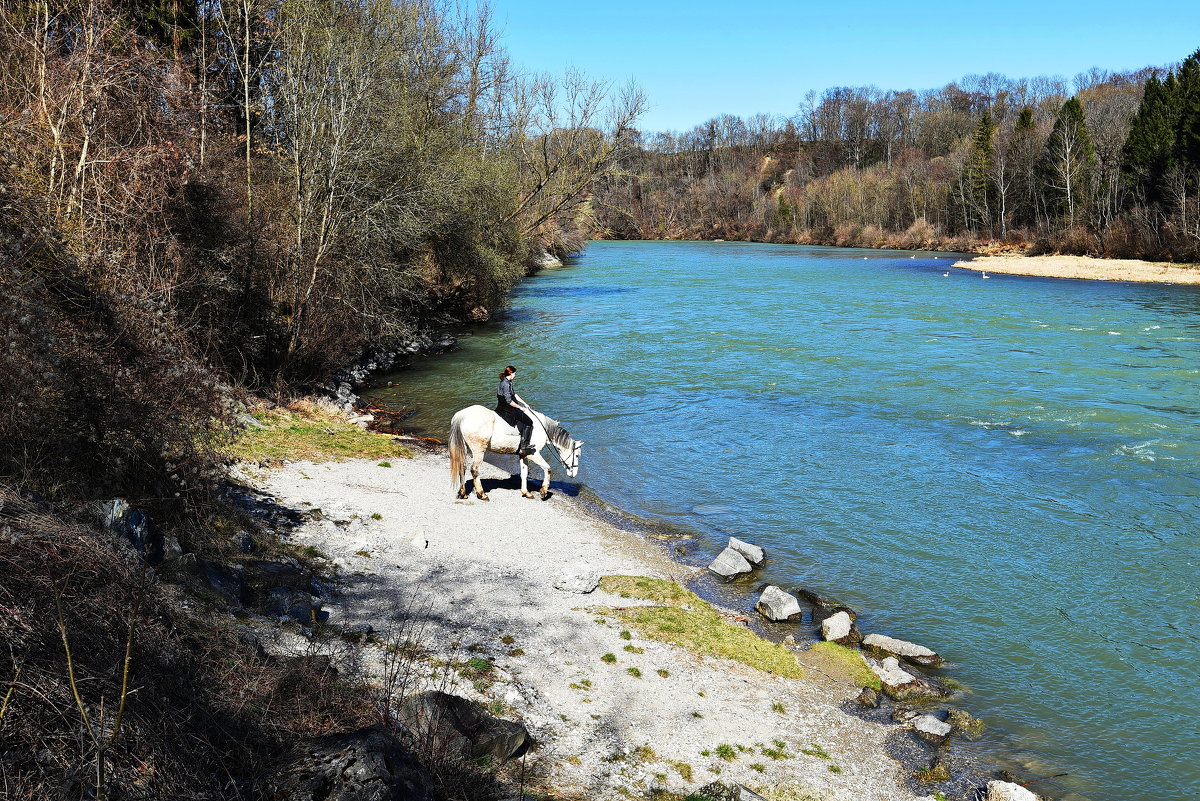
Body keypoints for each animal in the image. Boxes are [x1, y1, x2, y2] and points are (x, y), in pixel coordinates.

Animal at [451, 407, 580, 501]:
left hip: (465, 449)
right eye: (577, 455)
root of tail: (462, 415)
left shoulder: (523, 455)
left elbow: (524, 473)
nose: (573, 474)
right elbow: (547, 469)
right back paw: (482, 494)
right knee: (474, 470)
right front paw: (543, 492)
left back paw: (463, 493)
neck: (542, 428)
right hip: (478, 450)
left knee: (462, 467)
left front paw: (526, 492)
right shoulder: (533, 454)